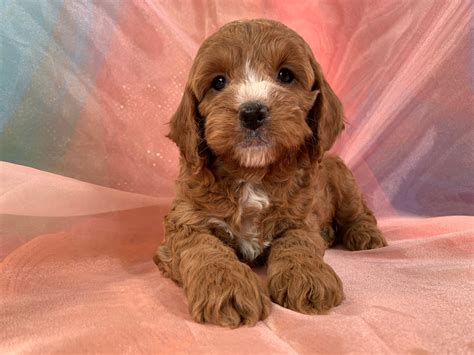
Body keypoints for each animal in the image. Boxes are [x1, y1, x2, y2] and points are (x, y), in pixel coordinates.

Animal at [154, 18, 386, 328]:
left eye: (285, 75)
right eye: (218, 82)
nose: (252, 112)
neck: (253, 173)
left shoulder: (300, 219)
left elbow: (297, 242)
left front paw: (306, 276)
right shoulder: (185, 222)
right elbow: (206, 249)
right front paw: (228, 289)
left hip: (343, 179)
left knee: (360, 212)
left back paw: (365, 235)